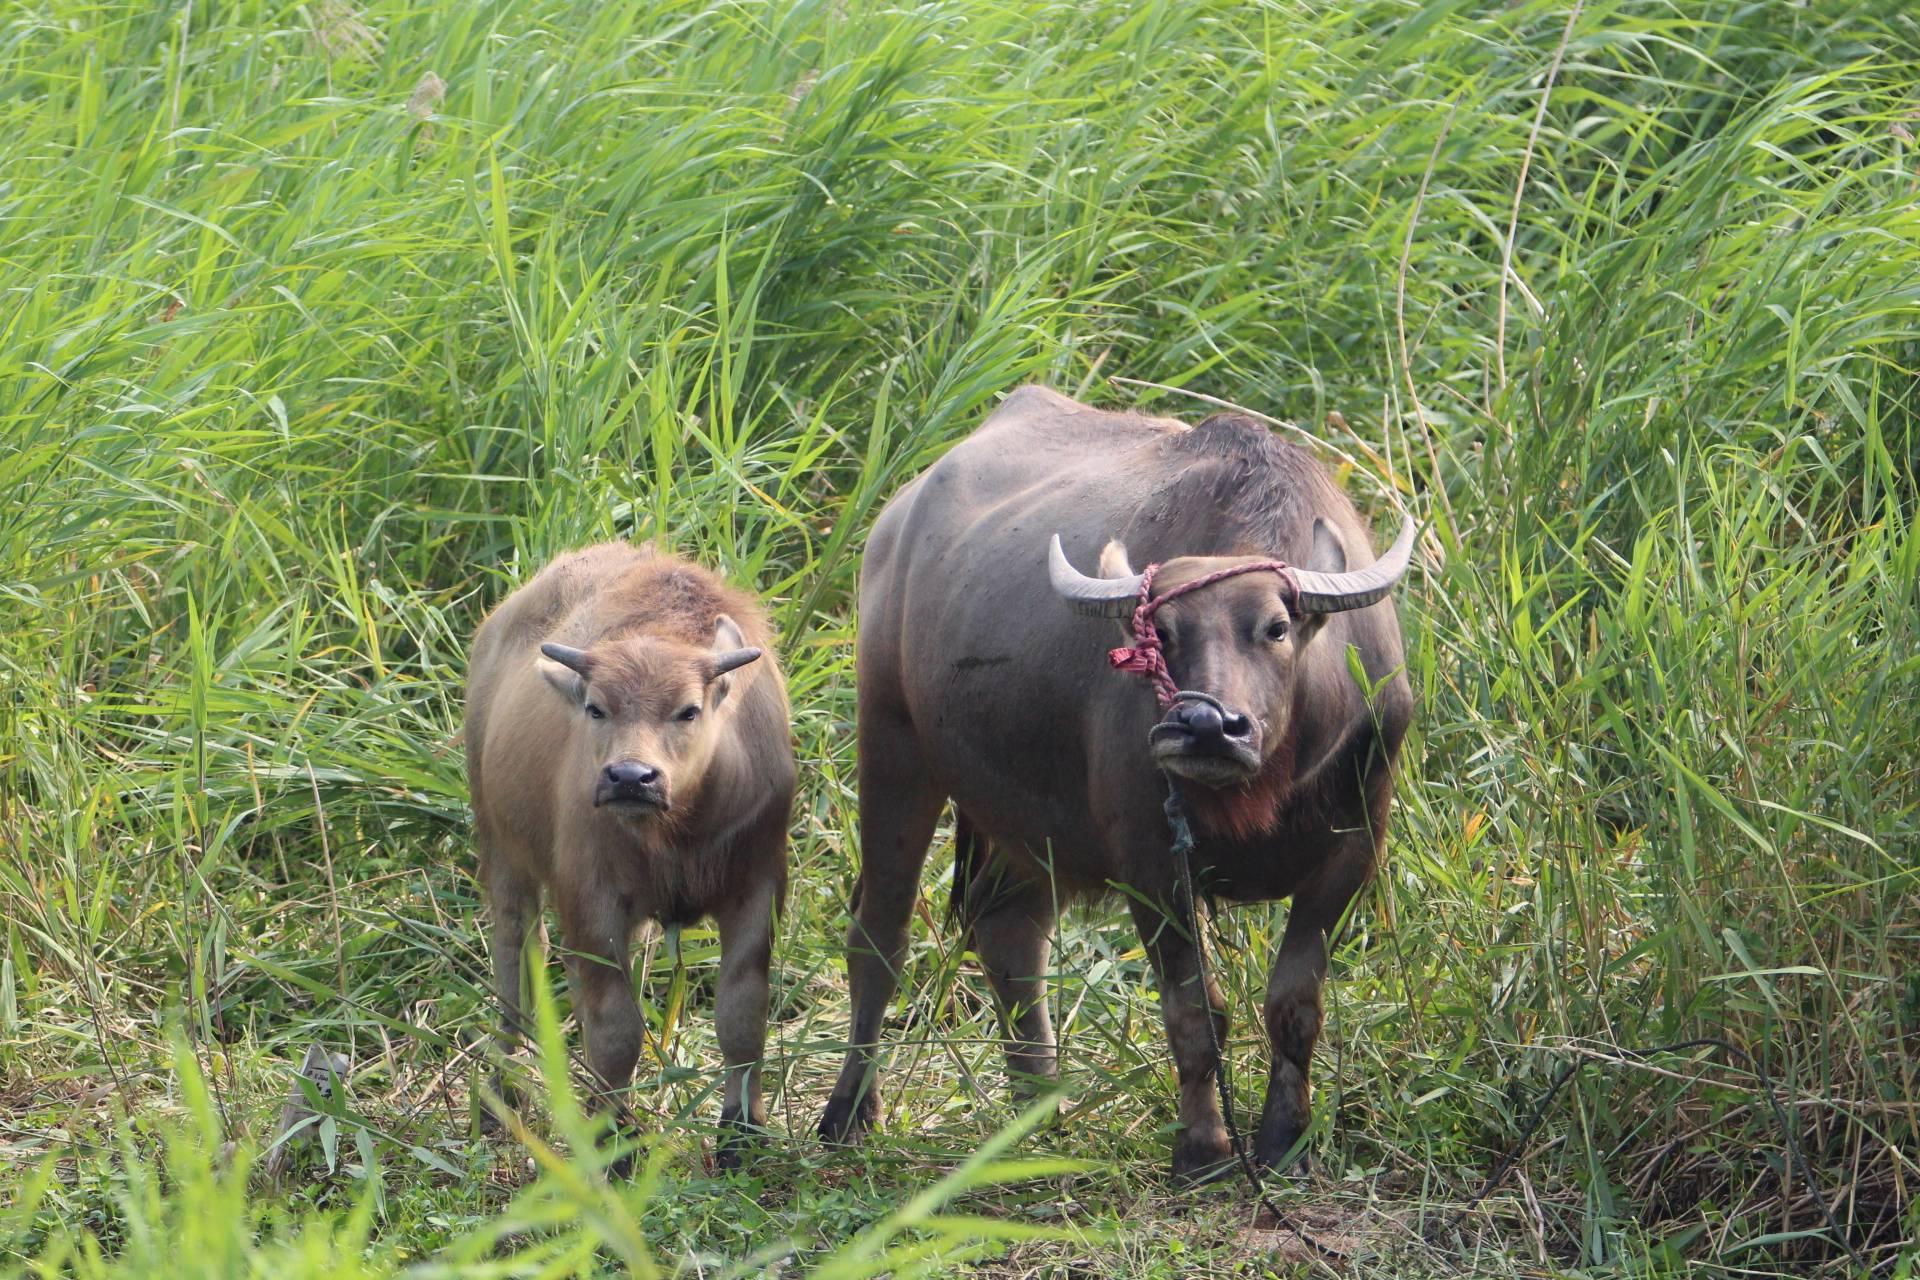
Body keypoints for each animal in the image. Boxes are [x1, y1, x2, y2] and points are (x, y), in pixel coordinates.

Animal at [466, 545, 794, 1174]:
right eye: (597, 708)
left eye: (688, 710)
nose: (629, 777)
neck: (680, 833)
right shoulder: (592, 898)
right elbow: (615, 1028)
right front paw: (613, 1140)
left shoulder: (757, 889)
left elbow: (742, 1013)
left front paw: (742, 1132)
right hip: (501, 847)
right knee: (515, 951)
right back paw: (504, 1088)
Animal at [817, 383, 1420, 1182]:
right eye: (1160, 632)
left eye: (1276, 626)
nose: (1204, 726)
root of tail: (895, 523)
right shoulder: (1150, 859)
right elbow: (1196, 1011)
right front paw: (1203, 1147)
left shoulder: (1353, 847)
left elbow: (1294, 1003)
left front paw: (1286, 1140)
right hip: (892, 742)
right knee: (879, 933)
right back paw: (848, 1113)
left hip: (1026, 818)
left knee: (1009, 930)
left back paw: (1038, 1112)